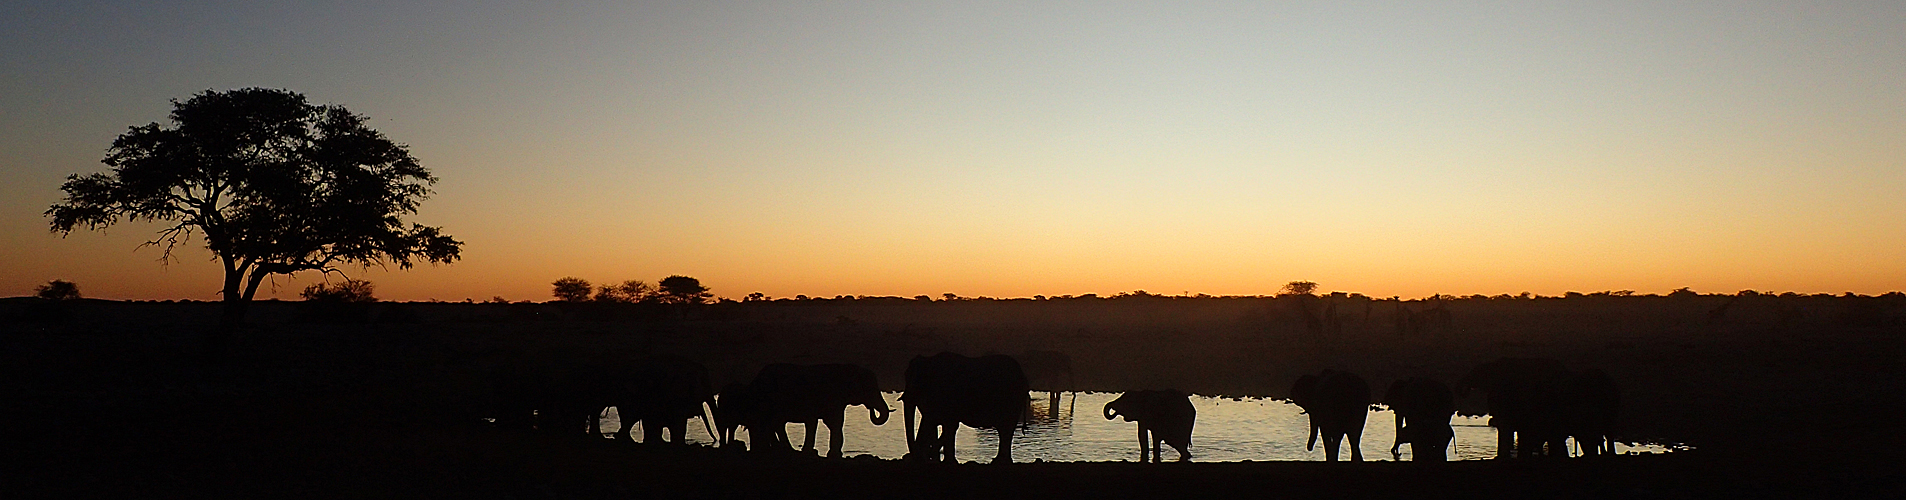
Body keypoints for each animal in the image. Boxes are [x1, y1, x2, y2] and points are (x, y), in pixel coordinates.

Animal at [739, 362, 895, 456]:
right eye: (869, 389)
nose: (871, 408)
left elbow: (835, 423)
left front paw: (834, 454)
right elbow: (817, 422)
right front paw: (812, 452)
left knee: (775, 424)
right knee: (773, 423)